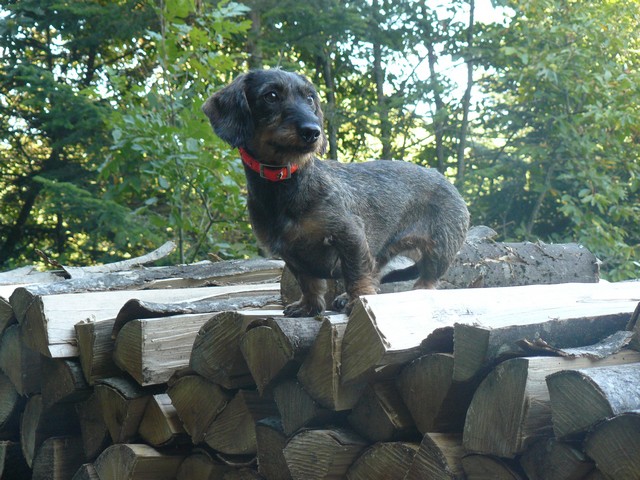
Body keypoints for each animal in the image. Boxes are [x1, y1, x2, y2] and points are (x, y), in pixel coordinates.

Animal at [202, 69, 469, 317]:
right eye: (271, 96)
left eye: (310, 98)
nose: (313, 131)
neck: (285, 185)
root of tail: (444, 179)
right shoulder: (292, 253)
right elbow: (308, 282)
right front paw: (308, 306)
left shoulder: (350, 235)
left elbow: (355, 273)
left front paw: (357, 300)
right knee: (377, 272)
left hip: (439, 249)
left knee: (428, 278)